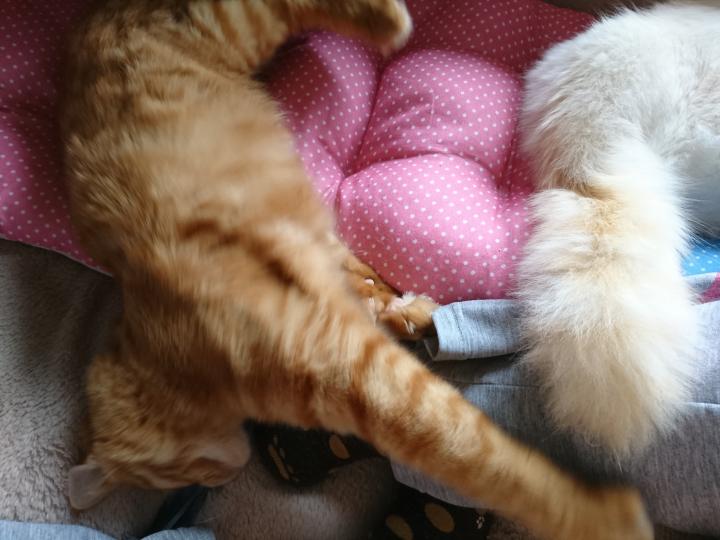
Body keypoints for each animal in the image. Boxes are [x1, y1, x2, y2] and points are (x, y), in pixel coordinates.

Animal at [60, 1, 653, 538]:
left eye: (181, 472)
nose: (219, 478)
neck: (160, 333)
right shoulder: (336, 293)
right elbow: (368, 285)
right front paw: (409, 312)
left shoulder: (357, 374)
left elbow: (481, 458)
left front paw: (600, 519)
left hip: (230, 29)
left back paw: (387, 20)